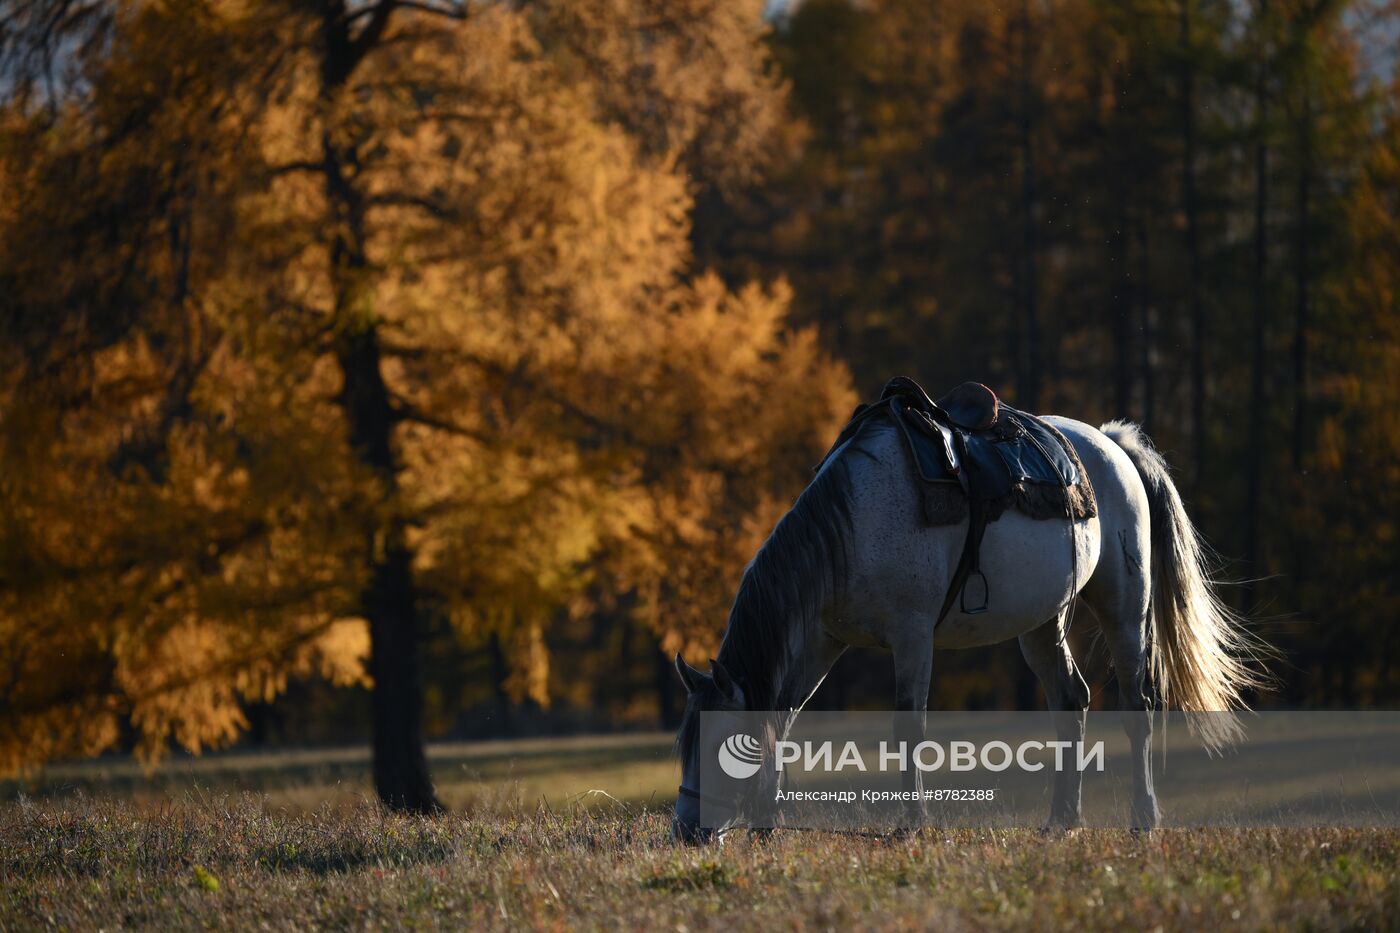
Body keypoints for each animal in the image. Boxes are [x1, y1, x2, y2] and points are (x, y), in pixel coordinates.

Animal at [672, 411, 1265, 840]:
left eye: (721, 741)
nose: (687, 831)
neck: (852, 523)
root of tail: (1112, 443)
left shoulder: (911, 637)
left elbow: (908, 729)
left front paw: (911, 826)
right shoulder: (823, 640)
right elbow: (783, 721)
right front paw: (765, 825)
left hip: (1124, 609)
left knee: (1135, 710)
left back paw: (1143, 820)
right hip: (1043, 622)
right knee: (1070, 701)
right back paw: (1061, 821)